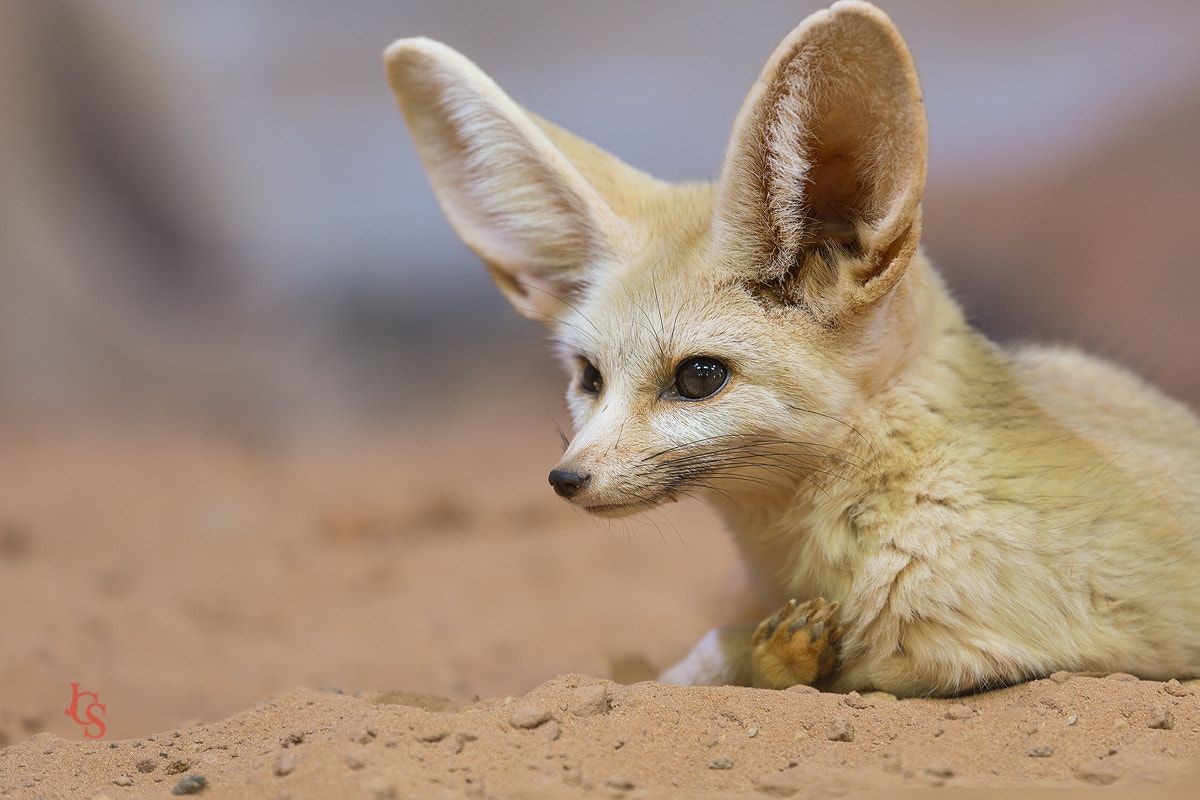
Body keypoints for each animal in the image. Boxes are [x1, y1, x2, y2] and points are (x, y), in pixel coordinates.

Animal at [386, 1, 1200, 695]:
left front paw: (781, 656)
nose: (565, 478)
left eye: (699, 377)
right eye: (589, 377)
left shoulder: (967, 647)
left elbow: (724, 660)